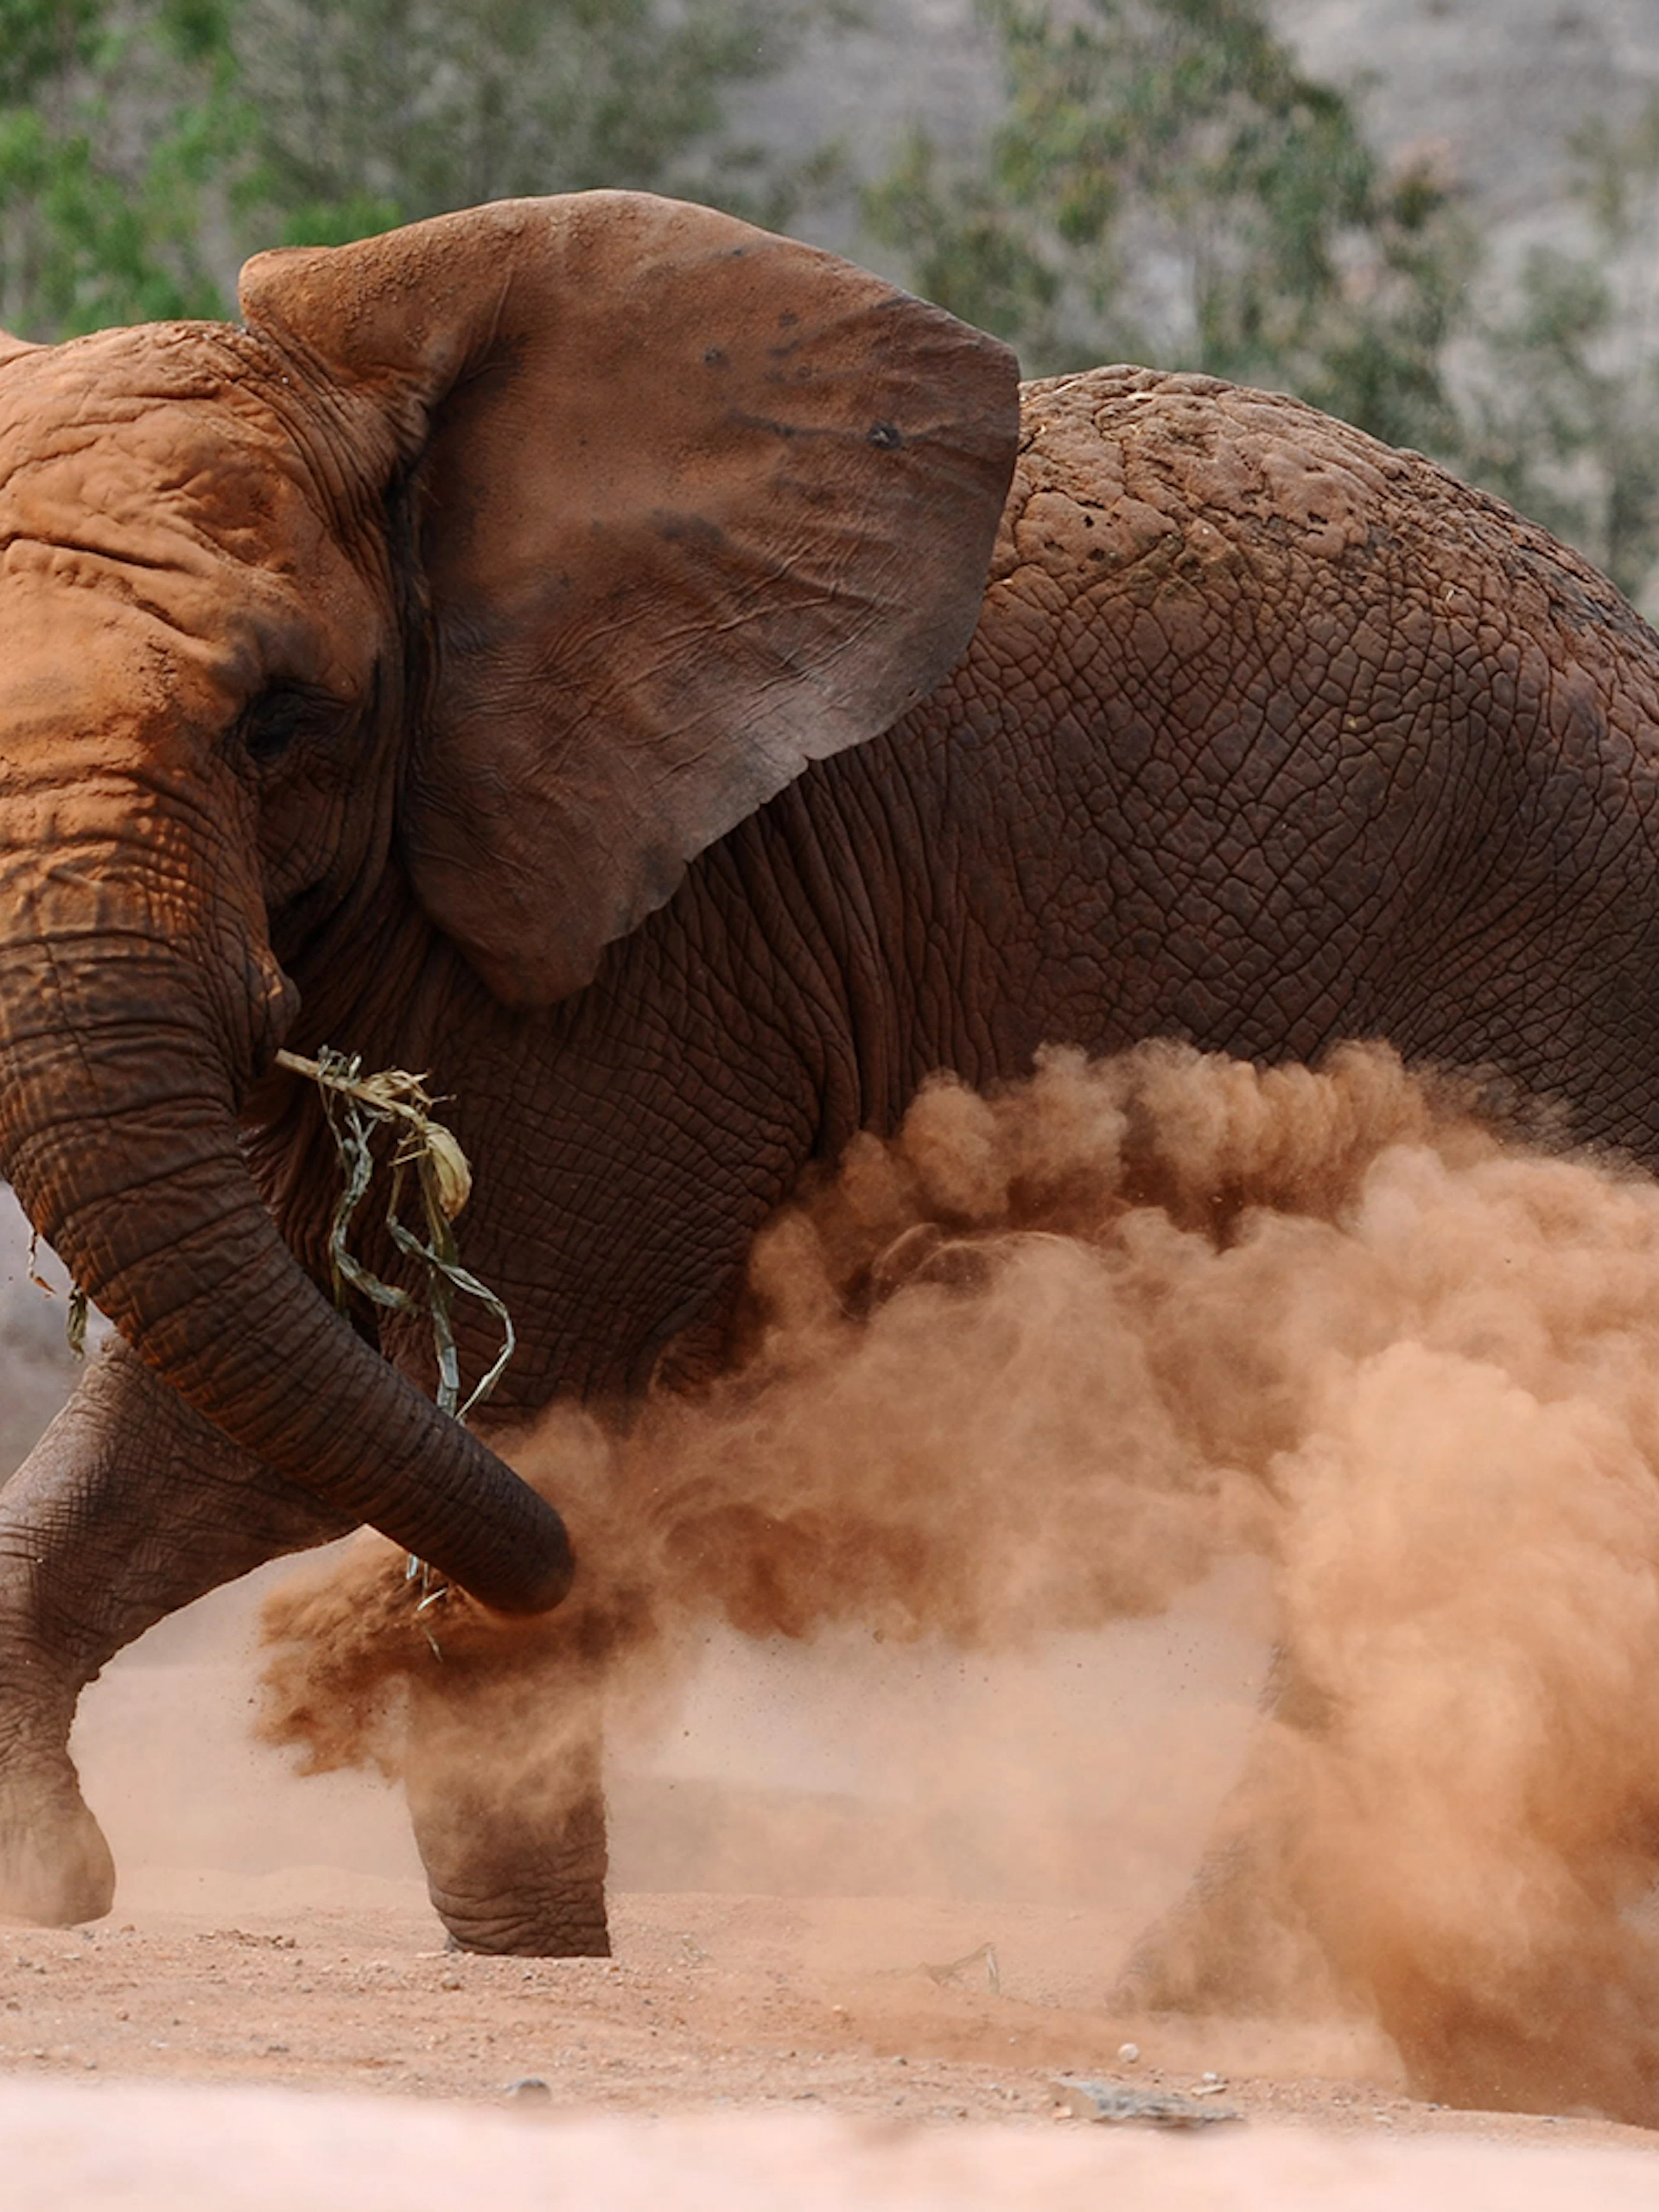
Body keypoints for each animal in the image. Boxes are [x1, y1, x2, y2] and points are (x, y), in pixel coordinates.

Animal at [2, 188, 1659, 1964]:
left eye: (278, 719)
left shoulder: (657, 962)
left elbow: (469, 1394)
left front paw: (537, 1943)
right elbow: (232, 1397)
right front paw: (49, 1880)